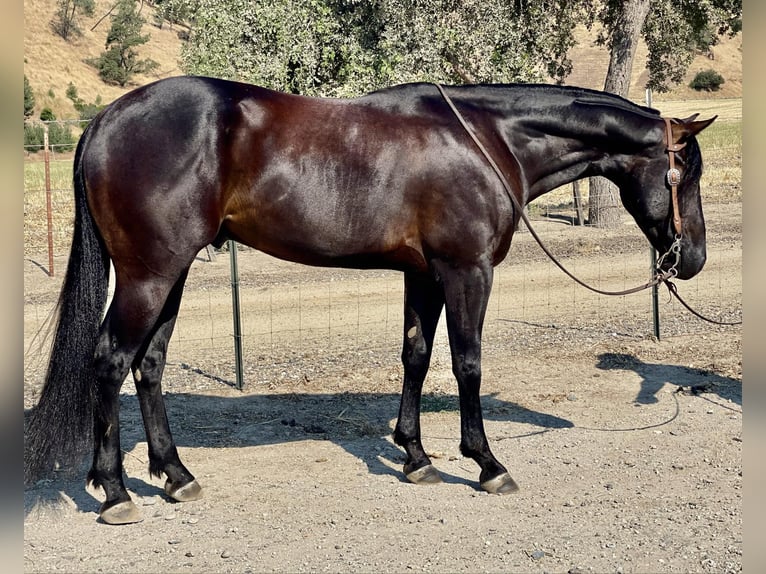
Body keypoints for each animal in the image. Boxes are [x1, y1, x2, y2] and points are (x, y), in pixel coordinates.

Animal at [24, 76, 715, 524]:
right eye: (688, 173)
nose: (694, 260)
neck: (488, 139)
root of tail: (107, 118)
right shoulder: (465, 272)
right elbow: (467, 362)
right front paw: (486, 462)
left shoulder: (424, 275)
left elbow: (416, 356)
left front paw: (415, 456)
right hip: (150, 275)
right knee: (110, 361)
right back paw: (115, 492)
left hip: (173, 275)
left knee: (149, 365)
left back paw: (176, 476)